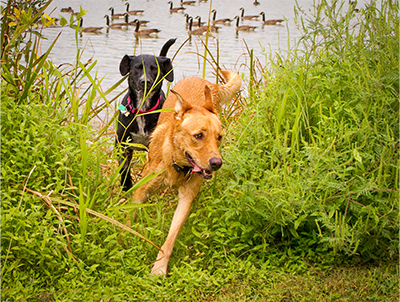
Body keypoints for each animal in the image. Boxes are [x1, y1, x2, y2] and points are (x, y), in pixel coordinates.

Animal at [117, 37, 177, 189]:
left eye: (155, 69)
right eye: (137, 67)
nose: (145, 81)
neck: (142, 109)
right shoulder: (122, 144)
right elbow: (124, 167)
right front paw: (126, 186)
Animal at [133, 71, 242, 276]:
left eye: (219, 137)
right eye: (198, 136)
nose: (217, 163)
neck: (176, 162)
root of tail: (204, 81)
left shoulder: (186, 197)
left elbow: (171, 237)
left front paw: (159, 267)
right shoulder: (141, 190)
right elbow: (129, 213)